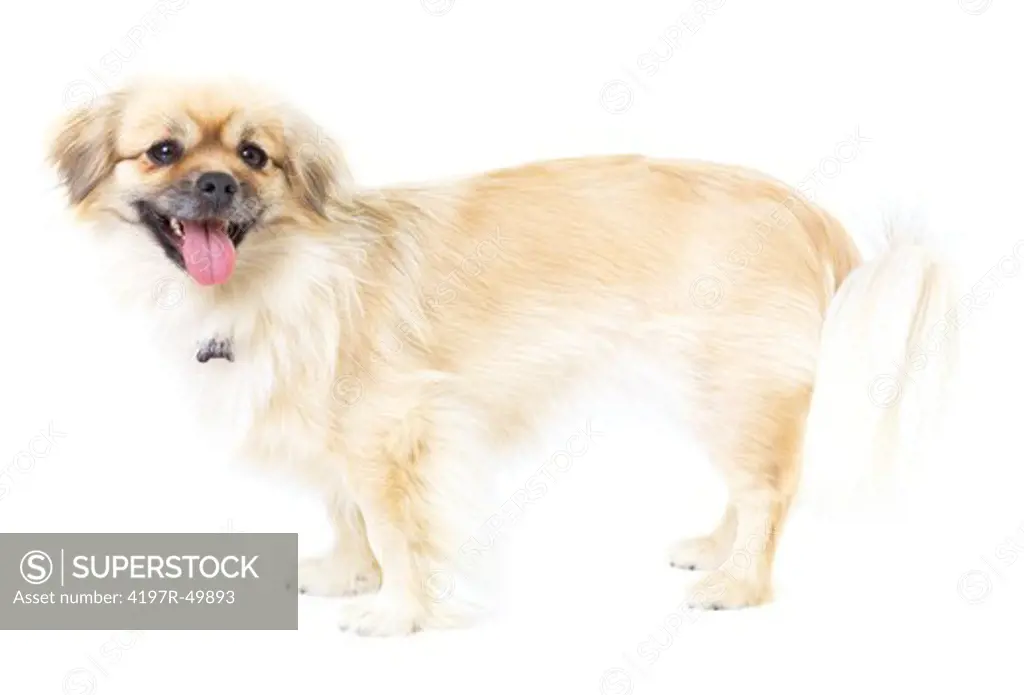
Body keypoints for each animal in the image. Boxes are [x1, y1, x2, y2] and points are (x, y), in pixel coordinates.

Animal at [48, 78, 954, 634]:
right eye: (164, 152)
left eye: (253, 156)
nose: (216, 185)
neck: (274, 274)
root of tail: (805, 209)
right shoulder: (338, 430)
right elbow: (347, 511)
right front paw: (349, 573)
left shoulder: (389, 431)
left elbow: (393, 526)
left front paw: (396, 611)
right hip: (716, 387)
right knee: (749, 487)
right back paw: (715, 548)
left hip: (731, 383)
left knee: (769, 493)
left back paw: (738, 583)